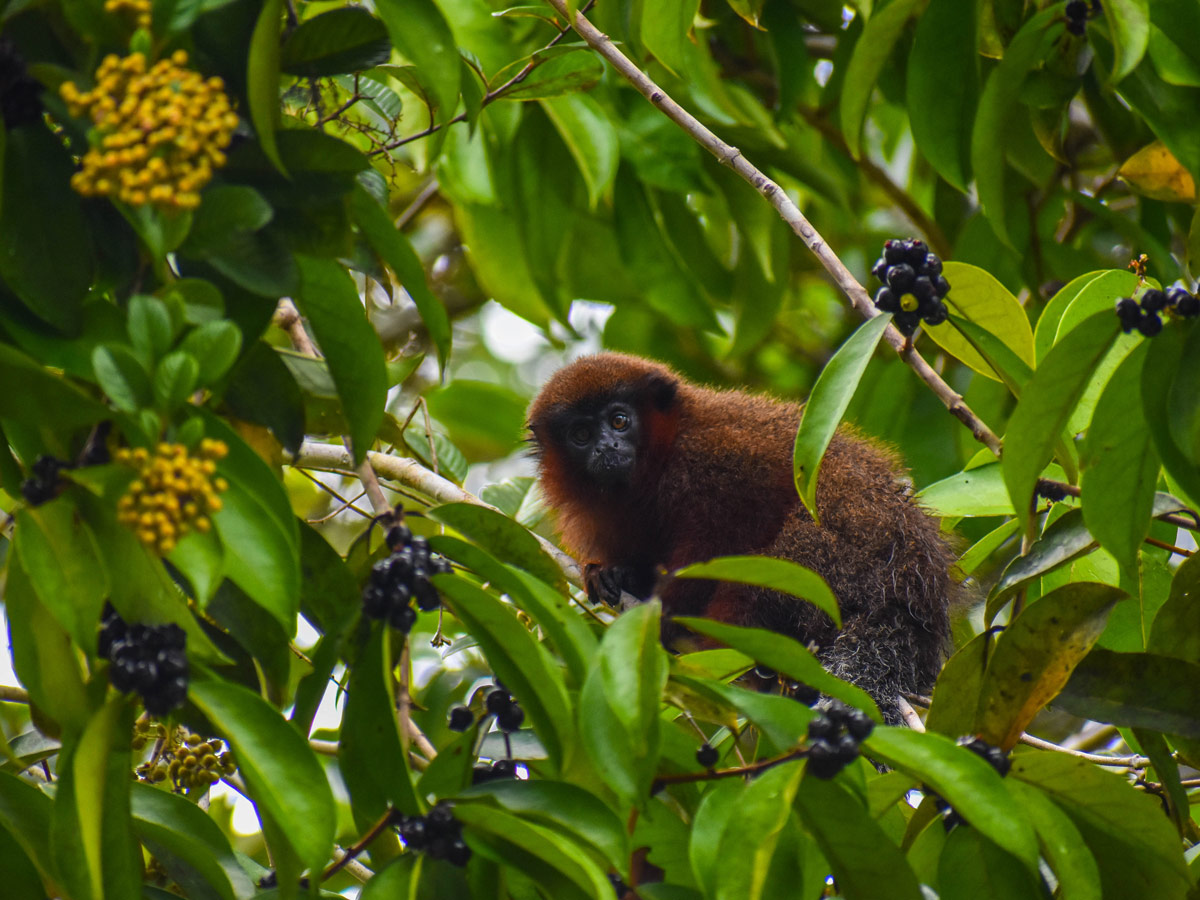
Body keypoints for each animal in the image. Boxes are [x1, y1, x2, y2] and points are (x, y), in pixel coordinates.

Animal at [528, 352, 955, 724]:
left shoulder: (717, 459)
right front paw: (615, 573)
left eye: (619, 421)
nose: (606, 447)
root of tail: (918, 596)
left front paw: (665, 610)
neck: (661, 459)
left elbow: (724, 536)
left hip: (854, 559)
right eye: (581, 434)